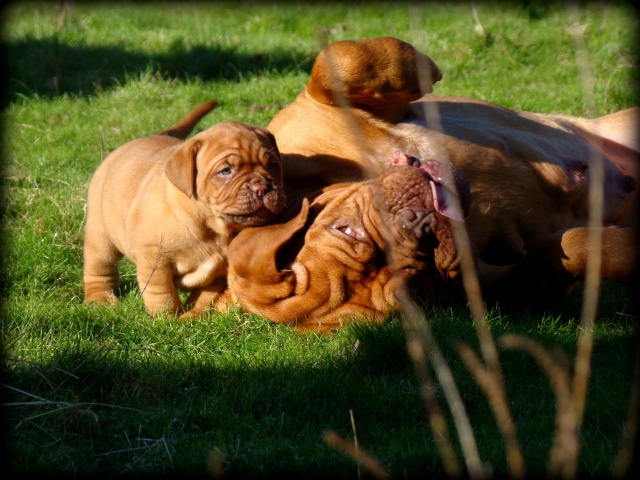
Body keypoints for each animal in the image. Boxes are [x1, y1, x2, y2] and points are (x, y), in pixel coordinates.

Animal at [83, 101, 284, 316]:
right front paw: (165, 318)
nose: (262, 187)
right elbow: (162, 294)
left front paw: (191, 317)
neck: (213, 227)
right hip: (100, 236)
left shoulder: (217, 274)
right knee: (99, 269)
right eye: (225, 171)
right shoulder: (154, 257)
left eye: (272, 166)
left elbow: (203, 297)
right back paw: (100, 299)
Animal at [219, 37, 636, 330]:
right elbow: (573, 247)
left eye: (345, 229)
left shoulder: (305, 112)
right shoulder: (508, 281)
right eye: (416, 289)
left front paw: (423, 68)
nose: (418, 224)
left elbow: (338, 61)